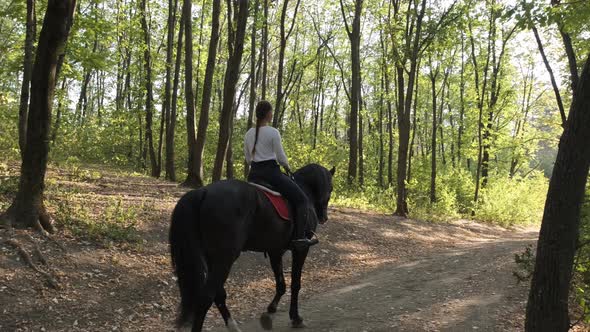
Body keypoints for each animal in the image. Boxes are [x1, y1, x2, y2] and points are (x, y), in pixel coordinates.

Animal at [171, 164, 338, 332]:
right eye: (331, 187)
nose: (324, 218)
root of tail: (203, 192)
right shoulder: (301, 249)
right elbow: (295, 284)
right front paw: (296, 318)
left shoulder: (275, 251)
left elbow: (281, 284)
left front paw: (269, 314)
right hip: (224, 258)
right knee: (207, 296)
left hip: (212, 258)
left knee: (218, 294)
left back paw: (233, 326)